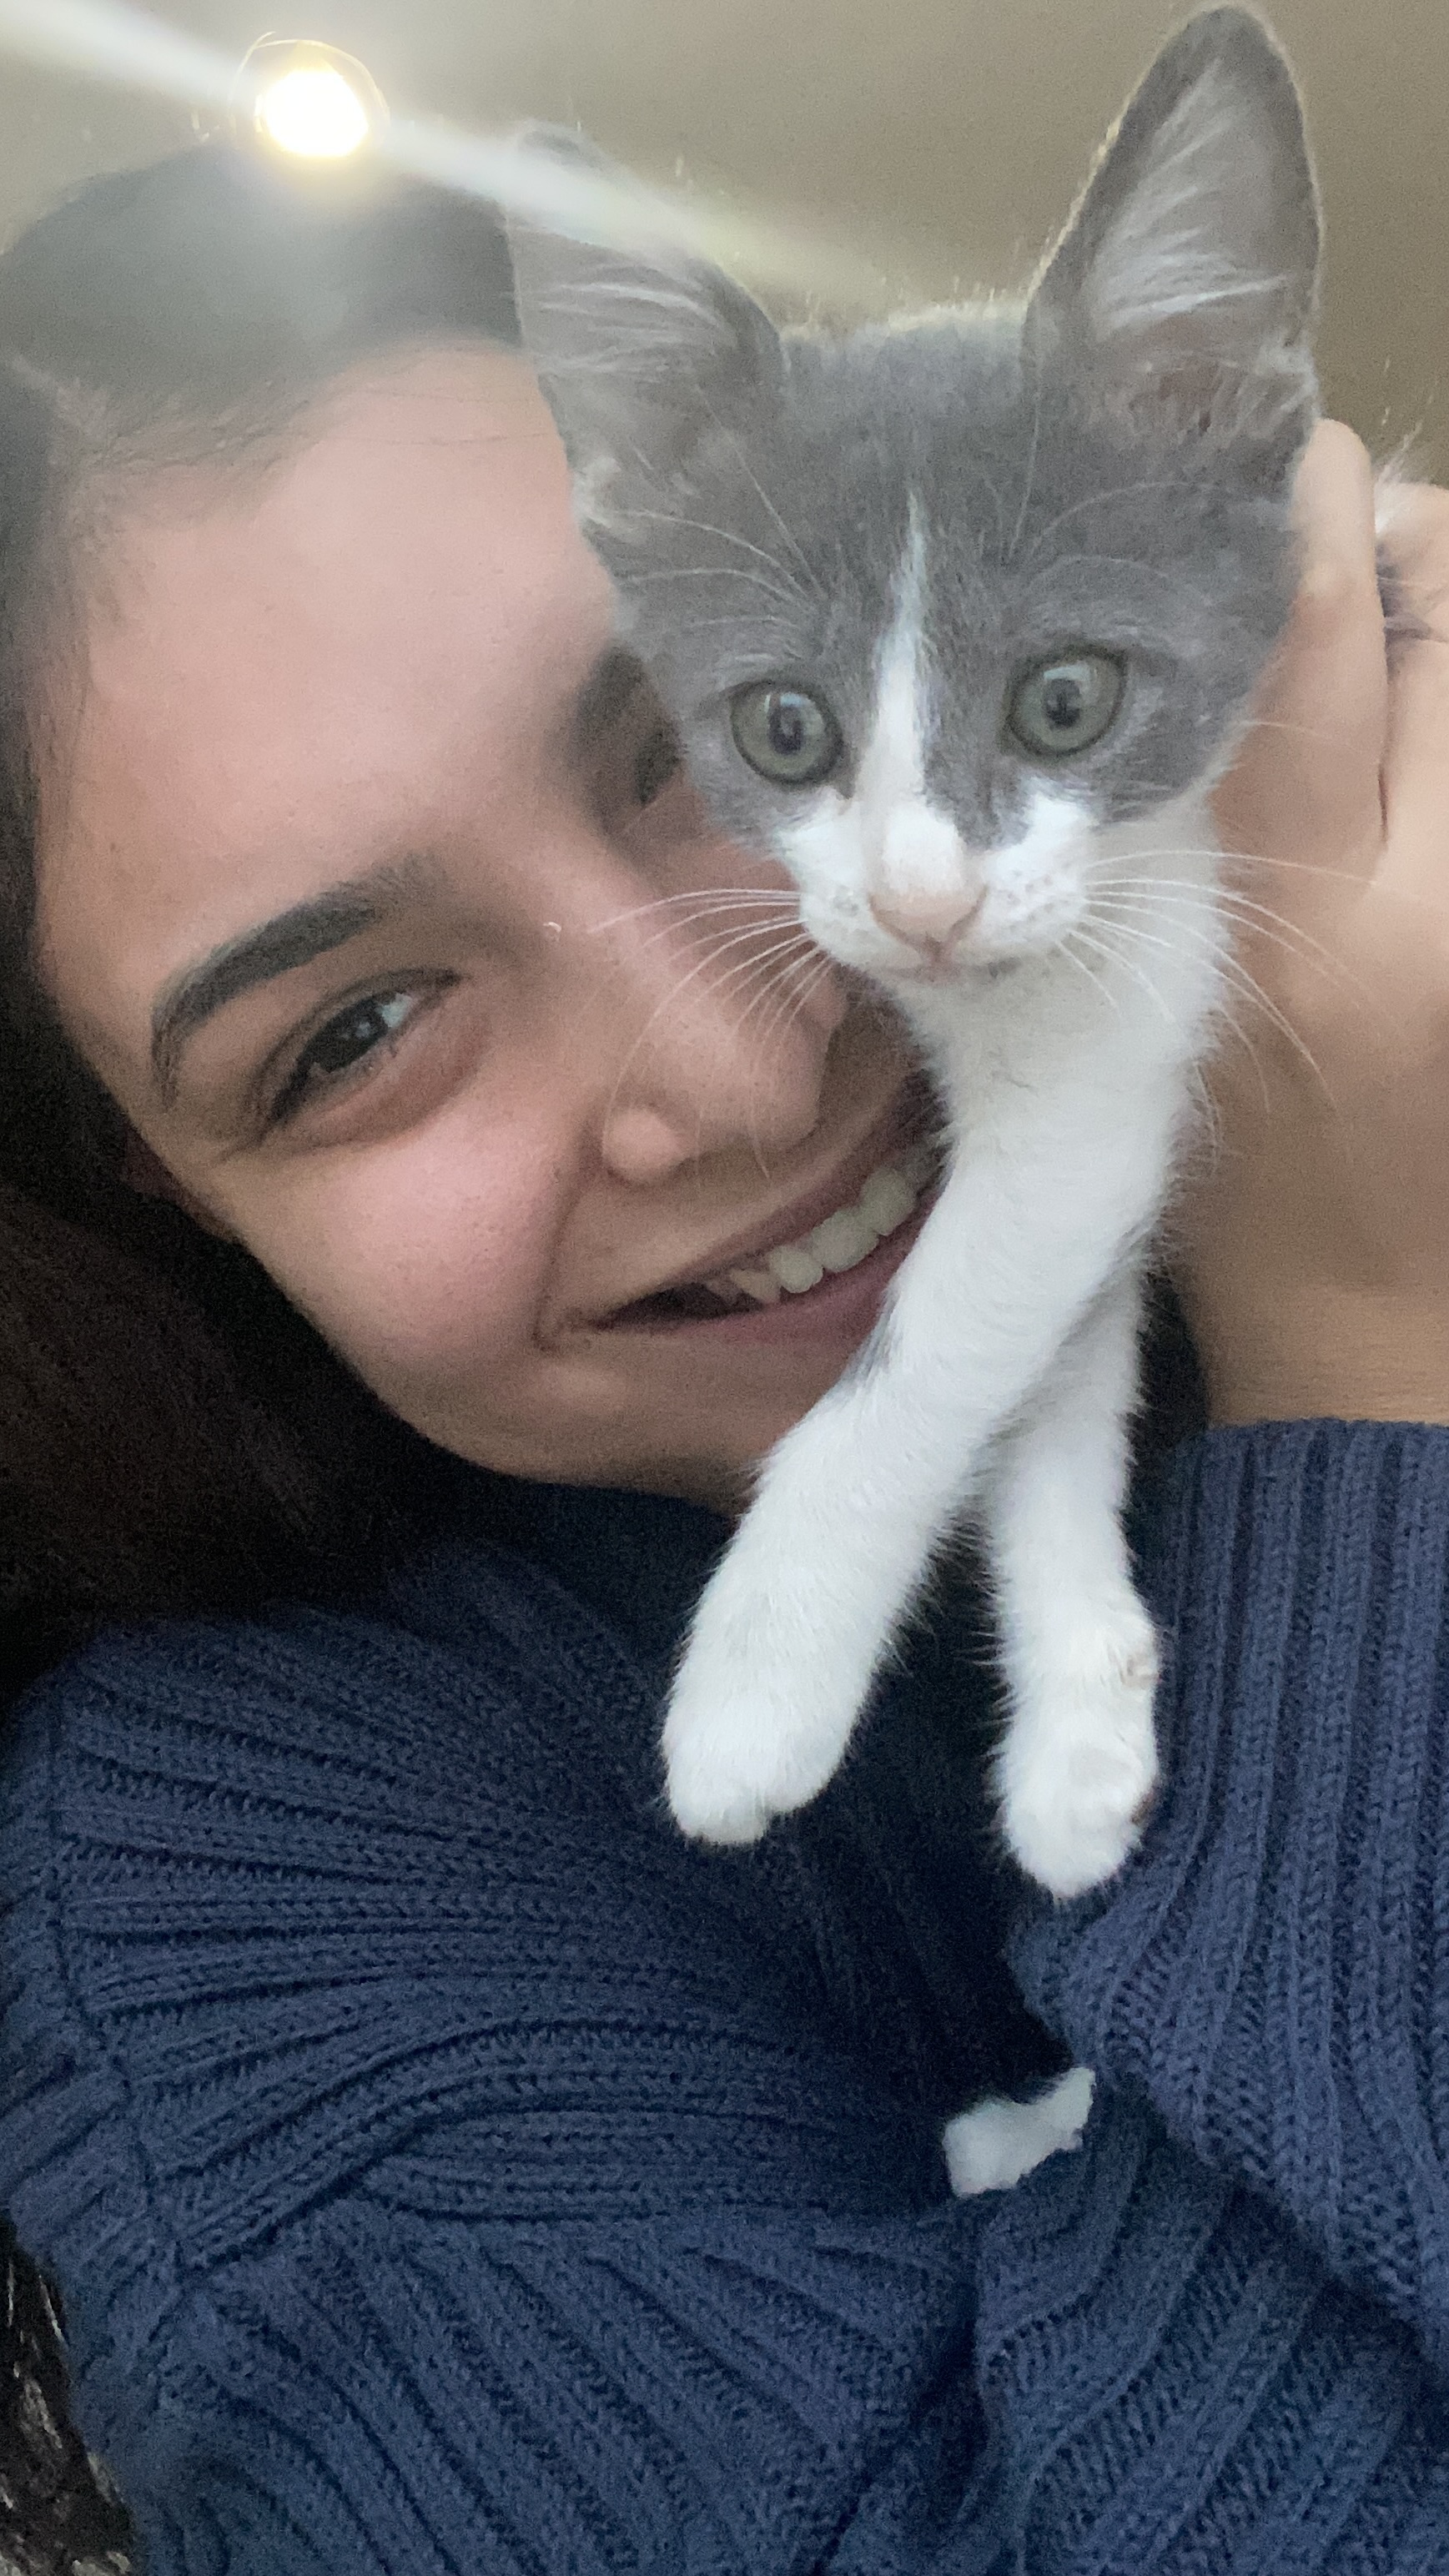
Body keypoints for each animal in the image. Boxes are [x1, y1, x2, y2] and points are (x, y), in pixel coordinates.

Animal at [508, 8, 1320, 2176]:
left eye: (1066, 697)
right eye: (782, 729)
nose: (918, 903)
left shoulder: (1125, 976)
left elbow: (938, 1329)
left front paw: (759, 1677)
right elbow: (1052, 1349)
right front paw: (1080, 1714)